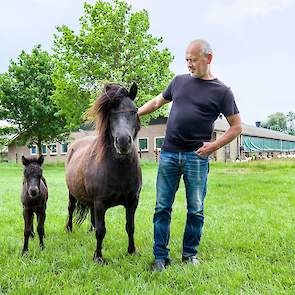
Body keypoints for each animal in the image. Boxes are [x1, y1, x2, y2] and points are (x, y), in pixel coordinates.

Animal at [66, 82, 142, 264]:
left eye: (134, 110)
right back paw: (69, 229)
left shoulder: (133, 202)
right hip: (72, 193)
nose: (123, 142)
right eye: (111, 113)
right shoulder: (100, 203)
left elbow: (130, 227)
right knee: (71, 209)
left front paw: (132, 251)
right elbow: (101, 230)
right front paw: (98, 257)